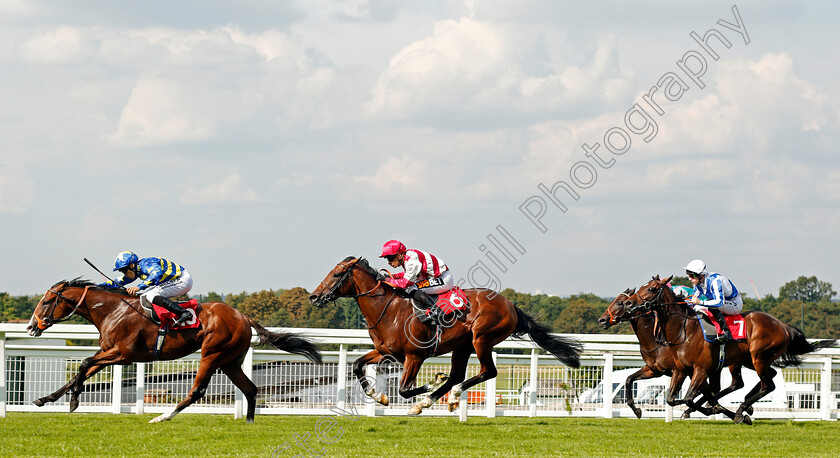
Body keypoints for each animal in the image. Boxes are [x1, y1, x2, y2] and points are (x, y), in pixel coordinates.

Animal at [25, 278, 322, 424]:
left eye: (48, 301)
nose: (31, 326)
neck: (113, 310)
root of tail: (243, 317)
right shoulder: (110, 352)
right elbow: (81, 370)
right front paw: (46, 399)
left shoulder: (122, 354)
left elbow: (84, 363)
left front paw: (74, 401)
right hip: (230, 361)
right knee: (250, 389)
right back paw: (248, 423)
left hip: (212, 354)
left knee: (197, 391)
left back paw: (162, 416)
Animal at [310, 258, 584, 416]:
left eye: (337, 275)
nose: (314, 296)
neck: (389, 311)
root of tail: (510, 305)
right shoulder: (386, 352)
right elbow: (358, 365)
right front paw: (380, 396)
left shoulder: (414, 356)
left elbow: (405, 390)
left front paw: (430, 384)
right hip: (462, 346)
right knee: (456, 375)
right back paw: (436, 399)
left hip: (481, 339)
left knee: (487, 371)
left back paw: (448, 396)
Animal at [596, 274, 832, 424]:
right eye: (622, 300)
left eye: (652, 289)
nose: (602, 320)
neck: (680, 330)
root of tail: (782, 325)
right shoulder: (672, 369)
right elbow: (641, 384)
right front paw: (637, 410)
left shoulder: (698, 369)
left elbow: (691, 397)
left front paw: (714, 410)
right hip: (745, 360)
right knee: (753, 381)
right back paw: (744, 406)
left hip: (759, 357)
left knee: (768, 384)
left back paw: (741, 409)